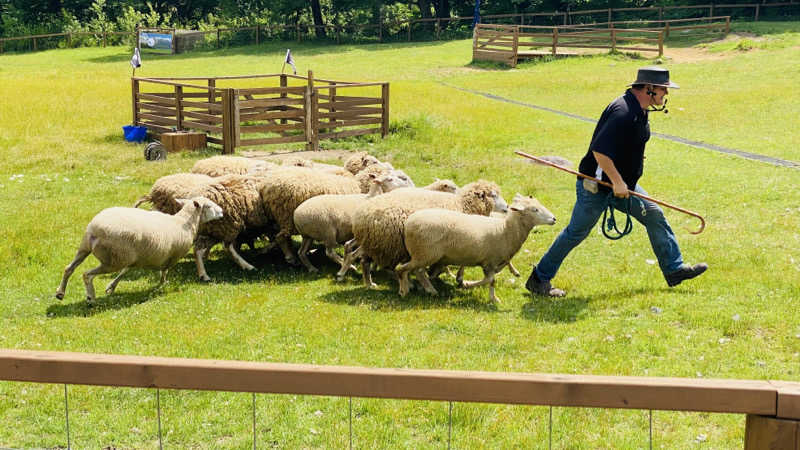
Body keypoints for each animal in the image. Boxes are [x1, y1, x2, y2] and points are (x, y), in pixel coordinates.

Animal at [54, 196, 222, 304]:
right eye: (209, 205)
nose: (222, 211)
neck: (183, 221)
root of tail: (95, 230)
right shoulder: (171, 257)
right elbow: (164, 270)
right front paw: (163, 284)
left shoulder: (137, 257)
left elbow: (125, 271)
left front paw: (111, 286)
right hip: (113, 259)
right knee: (87, 275)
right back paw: (90, 297)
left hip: (88, 248)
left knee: (69, 268)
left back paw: (60, 293)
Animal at [396, 193, 556, 302]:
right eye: (535, 209)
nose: (554, 218)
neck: (504, 230)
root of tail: (408, 223)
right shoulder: (489, 262)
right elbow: (489, 280)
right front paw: (468, 284)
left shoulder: (493, 263)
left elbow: (491, 281)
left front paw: (492, 298)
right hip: (425, 253)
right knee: (403, 269)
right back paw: (404, 290)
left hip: (423, 254)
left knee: (417, 271)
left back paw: (428, 289)